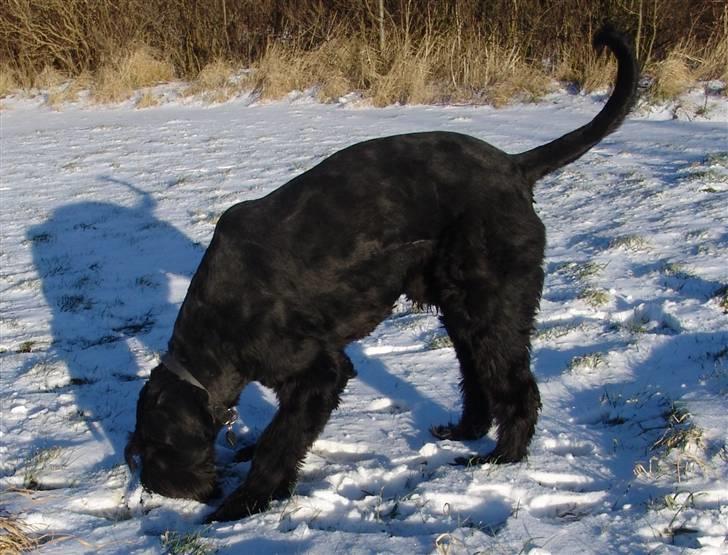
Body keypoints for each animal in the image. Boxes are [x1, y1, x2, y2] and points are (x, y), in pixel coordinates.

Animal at [126, 25, 636, 520]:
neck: (215, 333)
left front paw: (242, 504)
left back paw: (500, 457)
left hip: (493, 307)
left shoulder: (320, 372)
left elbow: (281, 438)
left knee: (515, 385)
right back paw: (464, 431)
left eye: (156, 448)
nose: (175, 490)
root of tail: (515, 167)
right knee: (476, 375)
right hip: (459, 308)